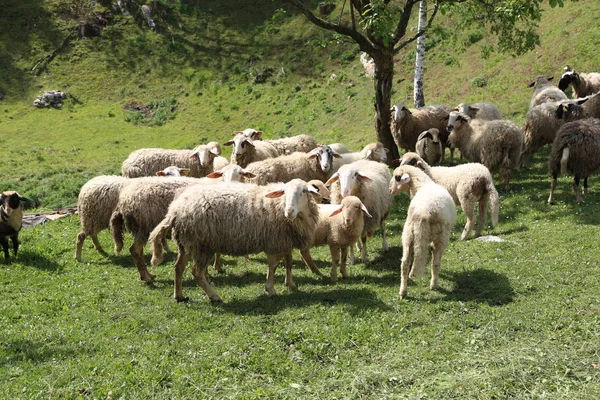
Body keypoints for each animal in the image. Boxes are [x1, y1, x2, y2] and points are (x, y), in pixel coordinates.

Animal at [148, 180, 322, 302]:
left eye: (304, 191)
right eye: (284, 192)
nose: (289, 211)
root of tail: (174, 210)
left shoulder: (285, 241)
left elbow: (289, 263)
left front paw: (290, 284)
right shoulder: (274, 242)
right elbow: (273, 266)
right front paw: (271, 289)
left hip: (187, 243)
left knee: (178, 268)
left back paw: (179, 296)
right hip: (202, 245)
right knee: (197, 272)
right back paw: (214, 296)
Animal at [386, 164, 458, 298]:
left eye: (397, 177)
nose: (390, 190)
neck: (422, 184)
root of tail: (423, 212)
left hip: (408, 234)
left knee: (404, 263)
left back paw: (403, 292)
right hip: (441, 237)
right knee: (435, 262)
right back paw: (433, 285)